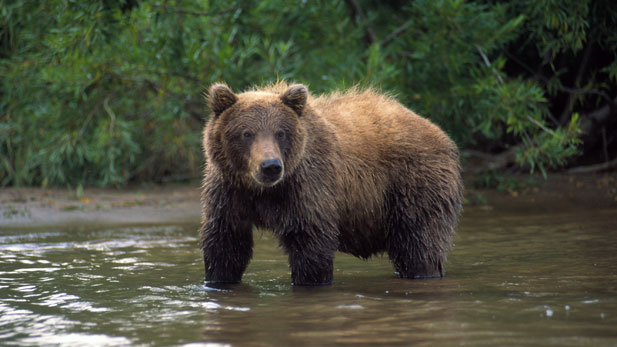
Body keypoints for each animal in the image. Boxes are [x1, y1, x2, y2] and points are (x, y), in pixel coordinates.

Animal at [200, 81, 460, 286]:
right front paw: (219, 278)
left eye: (280, 132)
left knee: (419, 244)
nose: (271, 166)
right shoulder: (229, 191)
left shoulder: (306, 187)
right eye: (247, 133)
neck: (262, 191)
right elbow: (226, 243)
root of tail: (437, 130)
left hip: (413, 183)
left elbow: (311, 245)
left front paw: (309, 280)